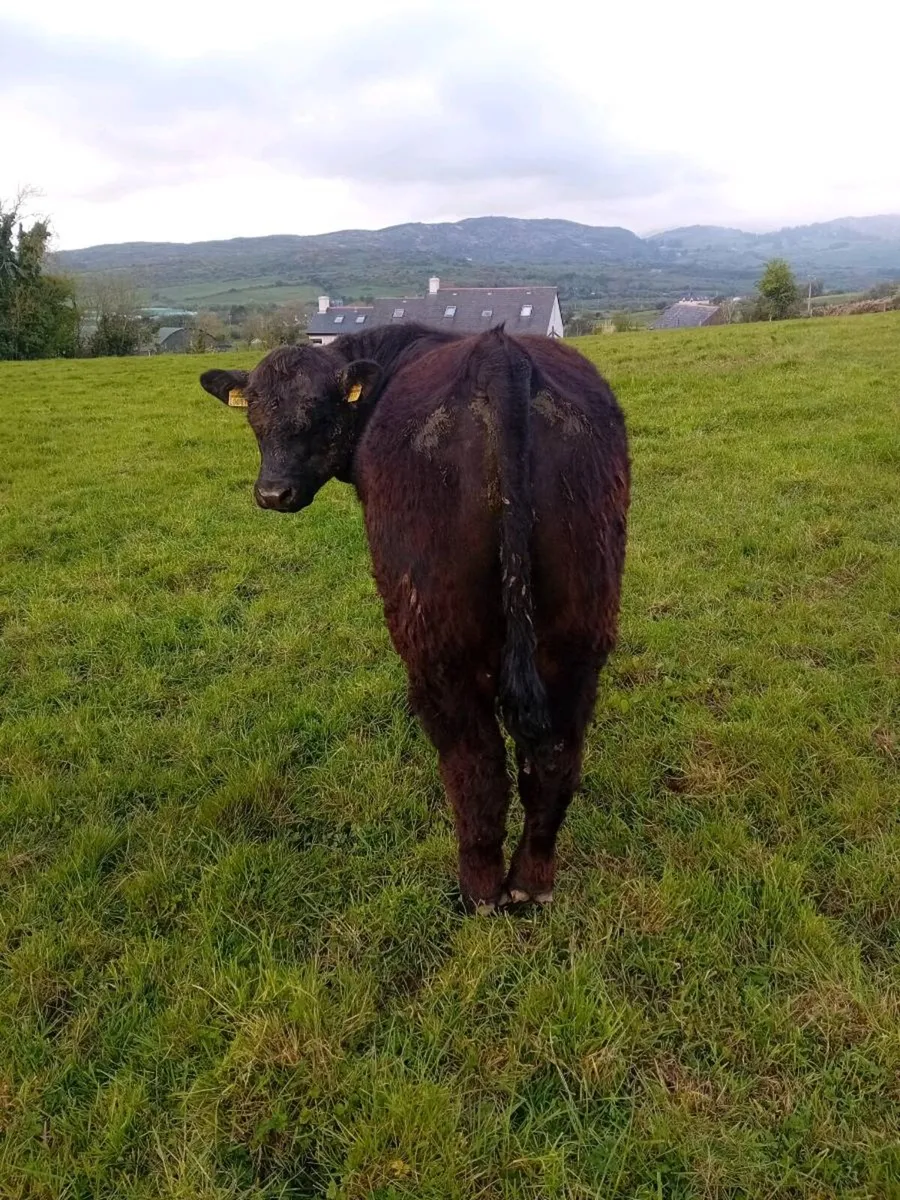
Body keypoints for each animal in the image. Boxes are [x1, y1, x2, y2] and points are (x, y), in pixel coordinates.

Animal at [199, 324, 629, 913]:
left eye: (321, 414)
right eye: (254, 418)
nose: (272, 493)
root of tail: (499, 354)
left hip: (436, 636)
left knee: (475, 759)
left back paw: (478, 891)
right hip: (578, 628)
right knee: (555, 755)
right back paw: (531, 882)